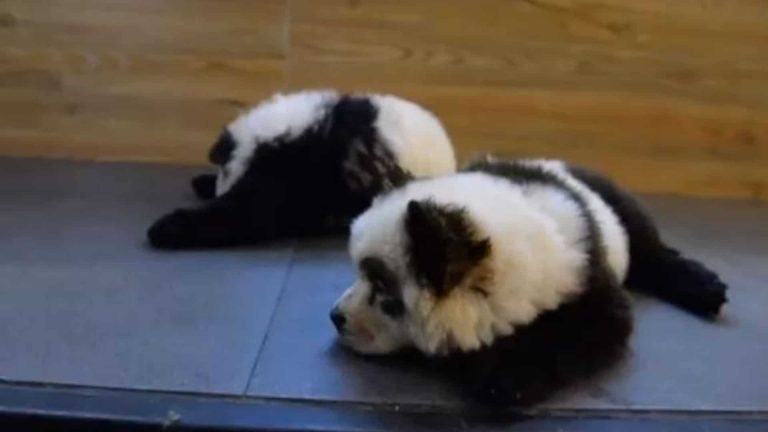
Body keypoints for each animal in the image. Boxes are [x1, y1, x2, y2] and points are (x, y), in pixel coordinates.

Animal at [330, 155, 728, 407]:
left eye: (382, 287)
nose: (335, 317)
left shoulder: (589, 283)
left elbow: (583, 328)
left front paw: (504, 380)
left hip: (616, 205)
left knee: (648, 246)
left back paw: (704, 288)